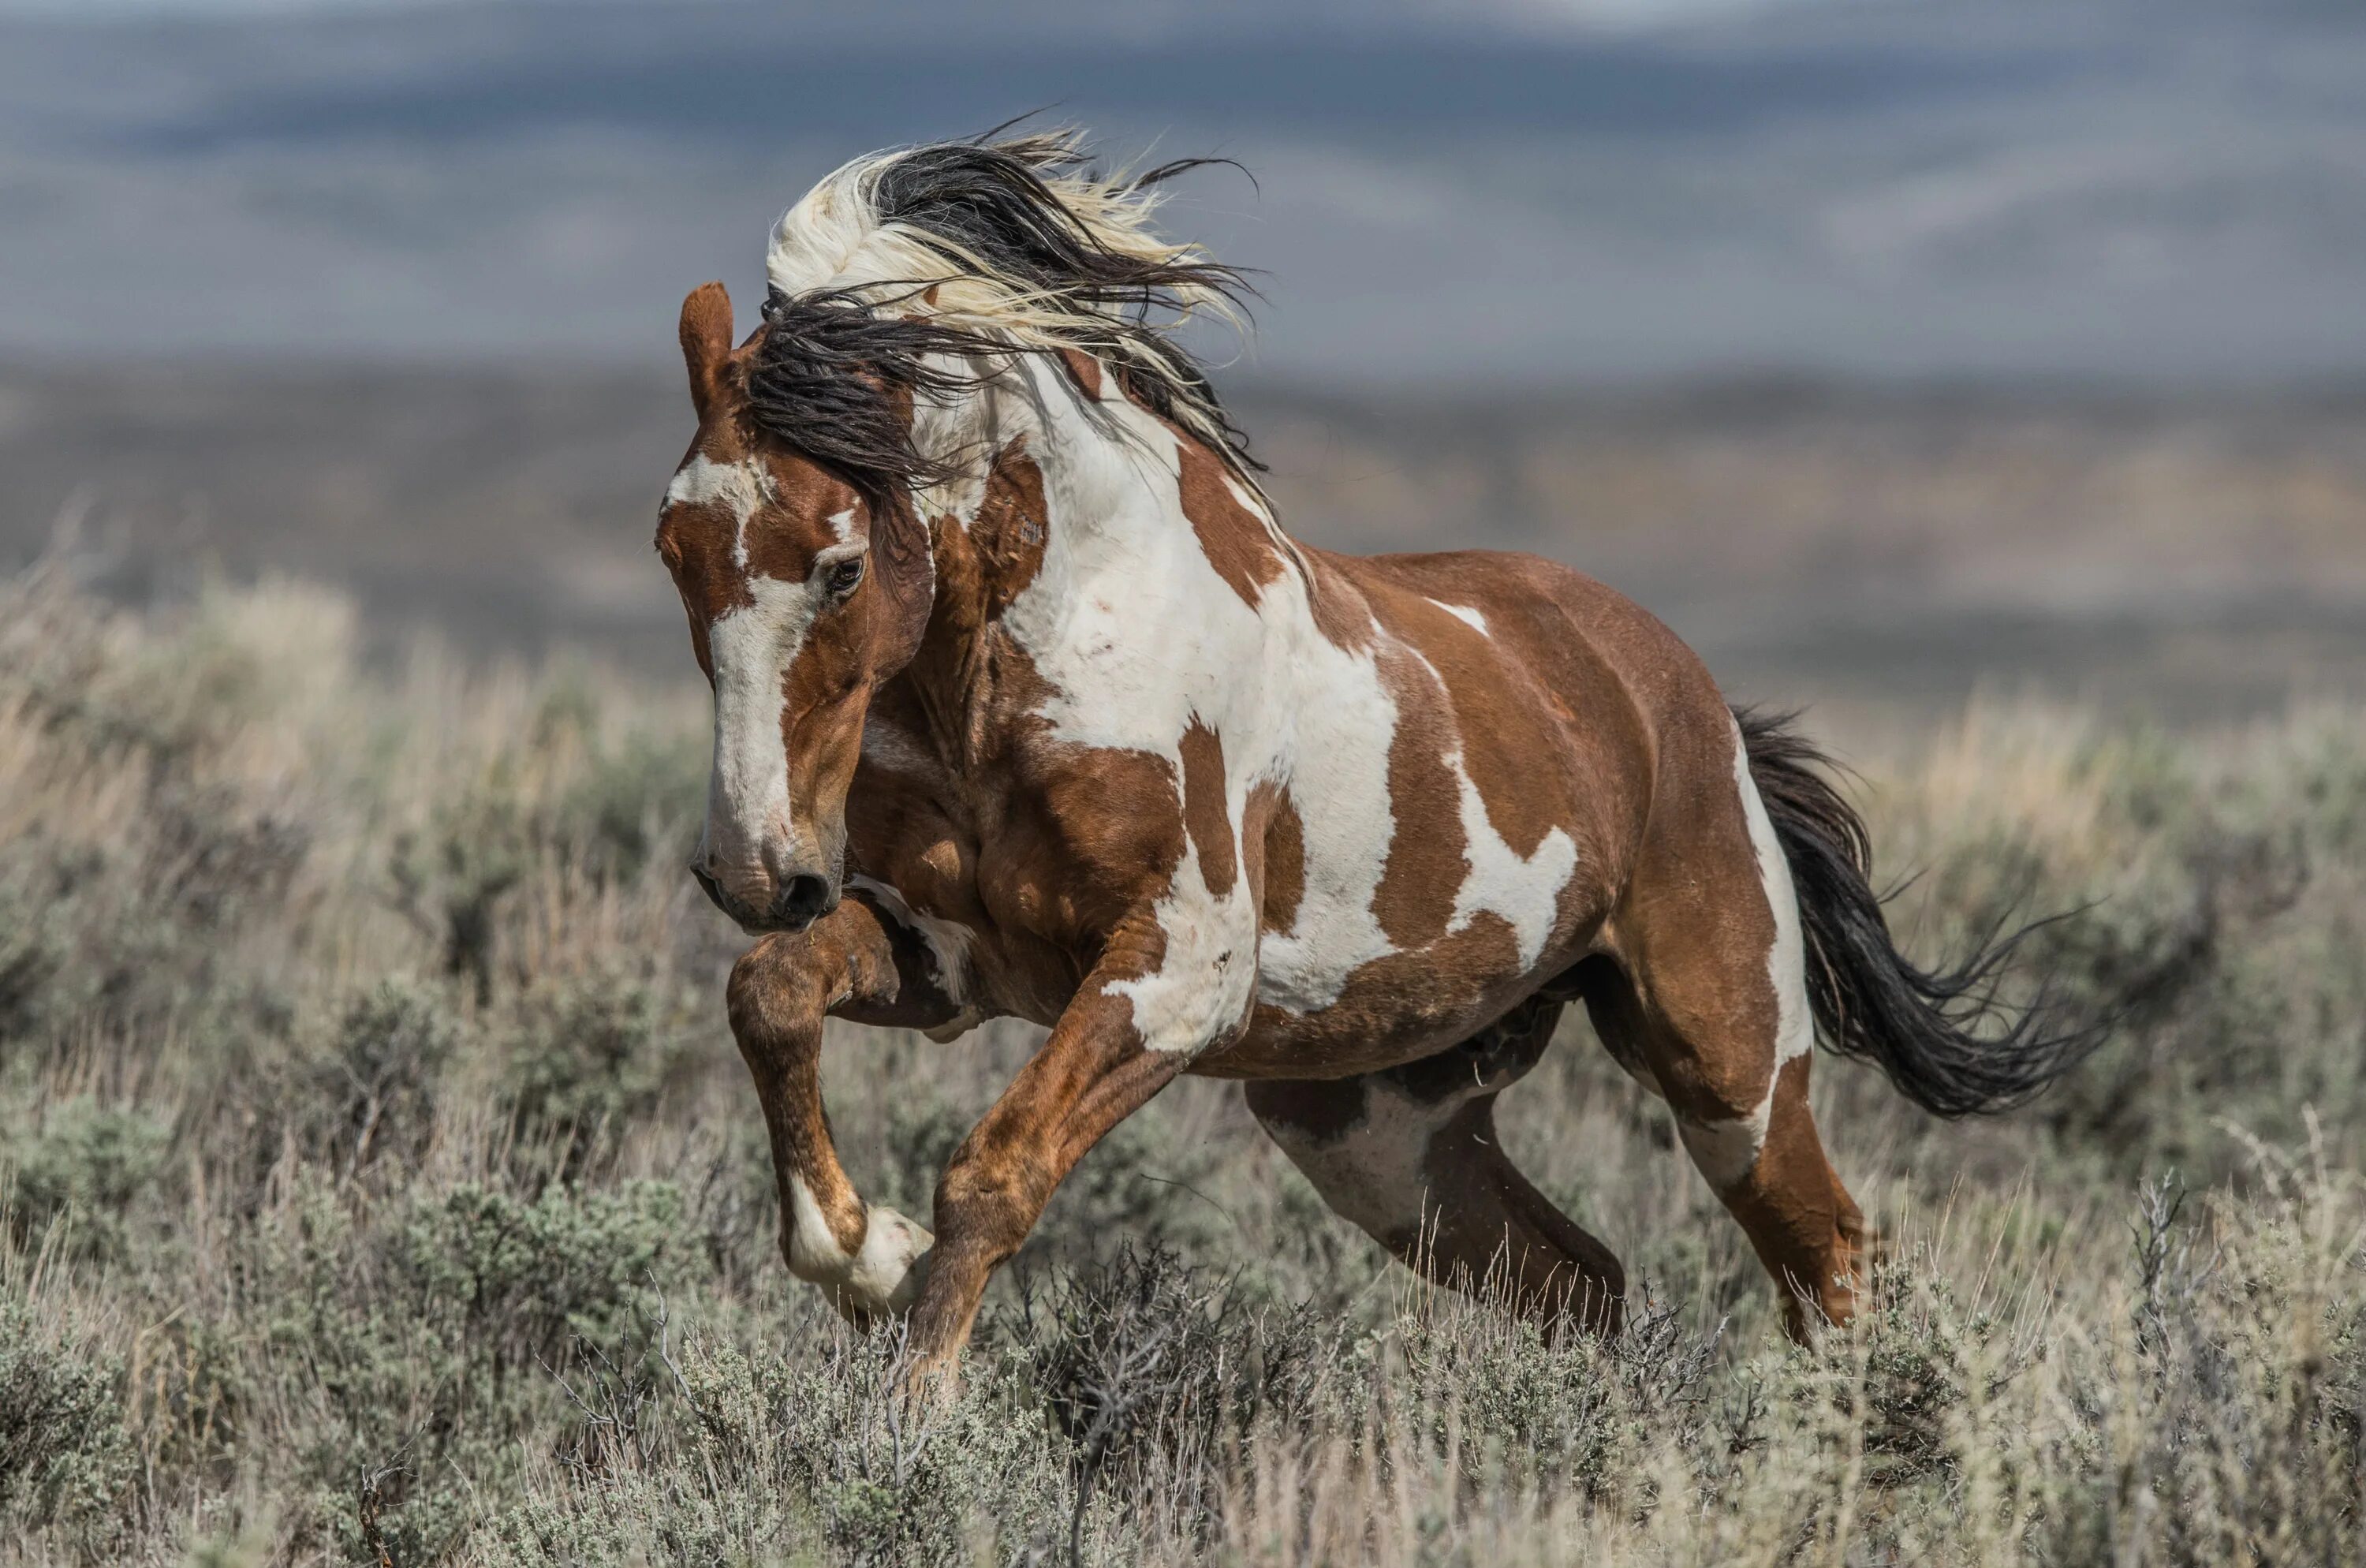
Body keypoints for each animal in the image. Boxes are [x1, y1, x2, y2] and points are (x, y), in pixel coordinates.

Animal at [658, 125, 2082, 1372]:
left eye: (842, 566)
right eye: (673, 549)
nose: (755, 870)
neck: (1034, 656)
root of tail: (1688, 699)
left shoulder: (1176, 971)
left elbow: (993, 1172)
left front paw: (909, 1410)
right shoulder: (956, 956)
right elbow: (772, 994)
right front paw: (859, 1253)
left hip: (1731, 1069)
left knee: (1829, 1257)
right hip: (1380, 1129)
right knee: (1585, 1284)